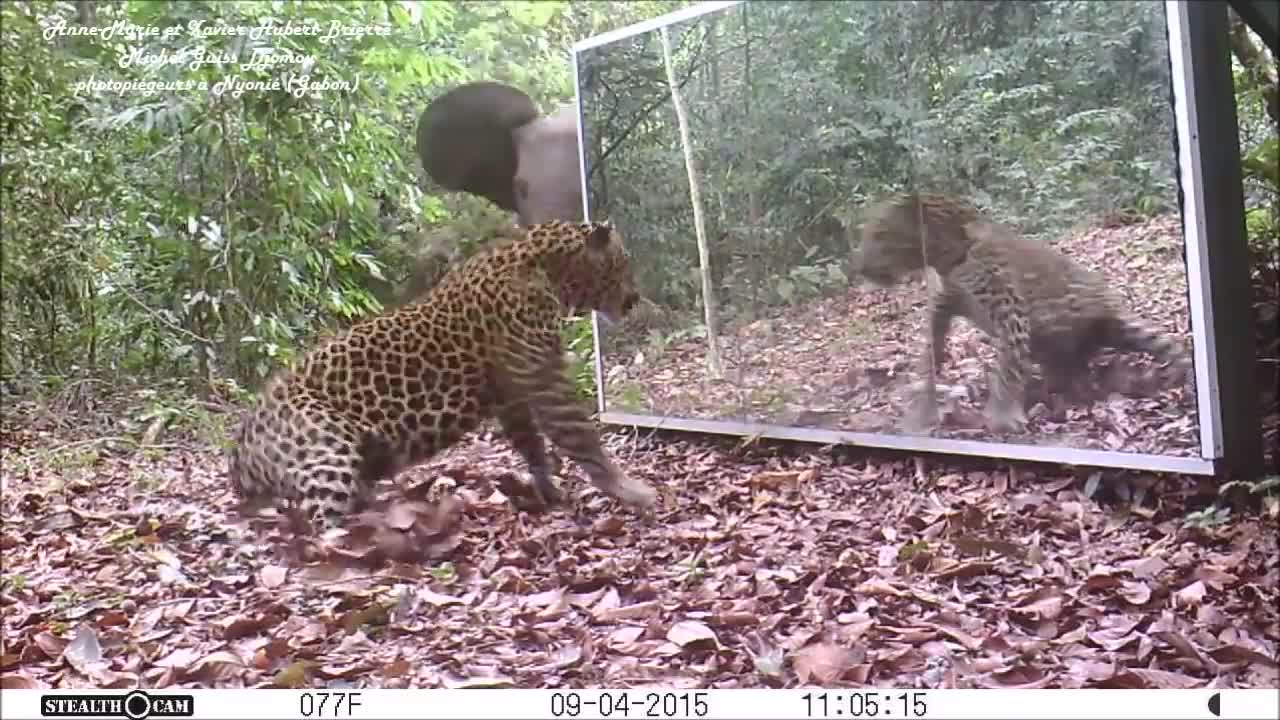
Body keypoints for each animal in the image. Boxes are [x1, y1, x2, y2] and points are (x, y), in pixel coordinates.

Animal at [226, 221, 660, 530]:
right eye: (623, 263)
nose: (635, 298)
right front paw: (631, 490)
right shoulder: (542, 378)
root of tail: (241, 444)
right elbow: (580, 437)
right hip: (327, 451)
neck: (549, 270)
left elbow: (532, 443)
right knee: (324, 522)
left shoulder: (512, 394)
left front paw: (547, 490)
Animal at [849, 189, 1187, 430]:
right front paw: (925, 406)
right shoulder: (944, 304)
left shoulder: (1008, 310)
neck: (946, 255)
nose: (859, 267)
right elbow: (930, 352)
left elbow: (1009, 365)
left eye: (880, 234)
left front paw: (1001, 416)